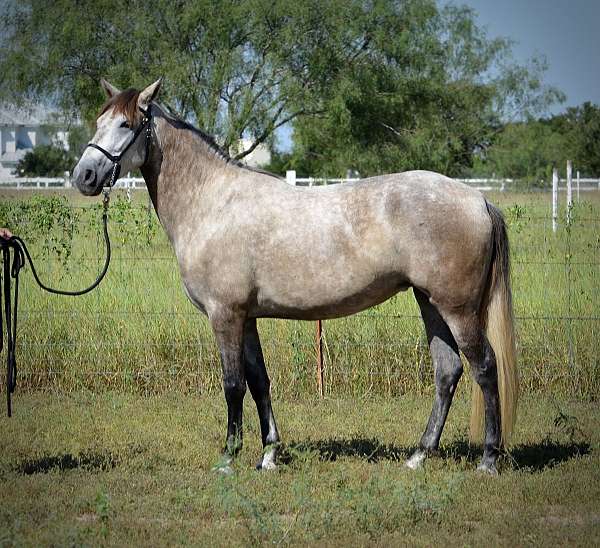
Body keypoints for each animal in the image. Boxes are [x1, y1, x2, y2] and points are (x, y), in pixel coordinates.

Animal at [72, 78, 516, 476]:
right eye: (98, 121)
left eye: (125, 124)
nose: (84, 177)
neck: (212, 203)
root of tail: (478, 198)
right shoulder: (247, 317)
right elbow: (259, 381)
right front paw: (268, 455)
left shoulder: (225, 315)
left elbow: (232, 385)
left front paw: (228, 459)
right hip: (430, 303)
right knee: (447, 372)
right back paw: (419, 456)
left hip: (458, 309)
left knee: (485, 368)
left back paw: (488, 460)